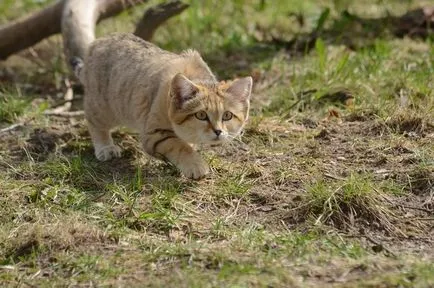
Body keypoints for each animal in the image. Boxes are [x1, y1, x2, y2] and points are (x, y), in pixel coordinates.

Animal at [71, 33, 251, 178]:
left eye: (227, 115)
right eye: (201, 115)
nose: (218, 131)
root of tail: (97, 43)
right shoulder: (154, 134)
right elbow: (179, 146)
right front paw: (195, 165)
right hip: (103, 107)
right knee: (95, 123)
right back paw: (105, 147)